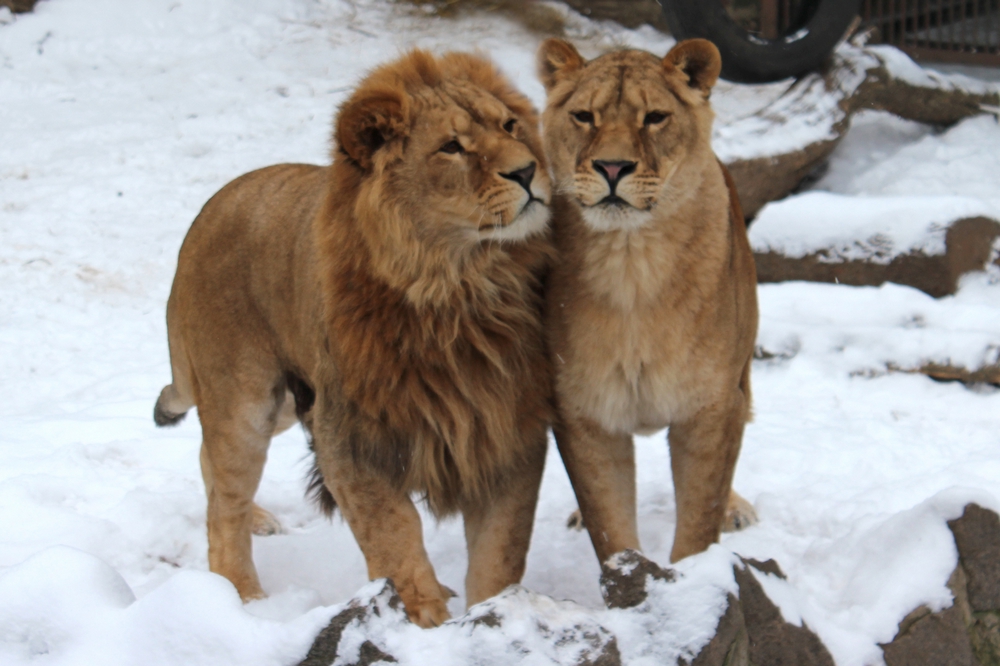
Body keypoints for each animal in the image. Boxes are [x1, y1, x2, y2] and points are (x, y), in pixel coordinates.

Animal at [154, 50, 556, 624]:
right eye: (451, 148)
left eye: (510, 126)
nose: (527, 171)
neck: (456, 287)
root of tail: (213, 204)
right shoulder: (347, 433)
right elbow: (394, 533)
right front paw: (423, 621)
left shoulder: (506, 426)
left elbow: (500, 549)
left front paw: (493, 615)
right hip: (245, 401)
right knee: (224, 499)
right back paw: (243, 597)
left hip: (284, 403)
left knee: (209, 465)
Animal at [540, 37, 756, 564]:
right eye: (584, 117)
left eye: (655, 117)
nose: (612, 167)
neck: (630, 260)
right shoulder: (584, 411)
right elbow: (609, 522)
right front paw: (629, 576)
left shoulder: (712, 404)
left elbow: (699, 517)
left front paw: (695, 578)